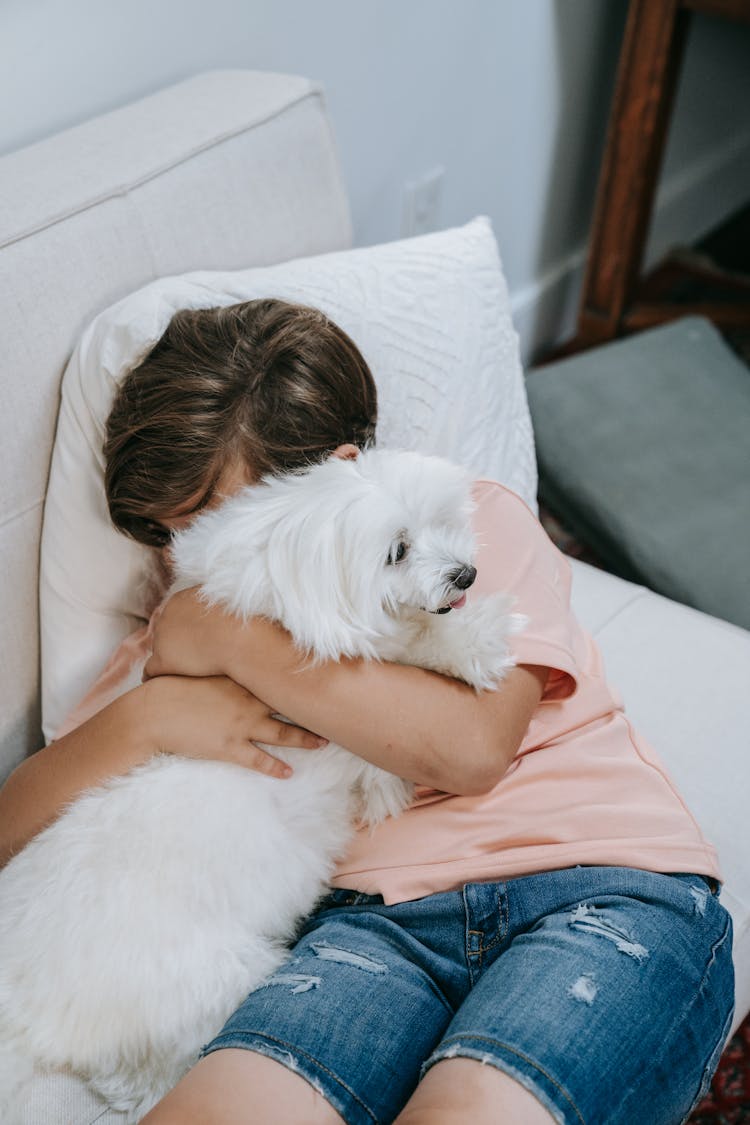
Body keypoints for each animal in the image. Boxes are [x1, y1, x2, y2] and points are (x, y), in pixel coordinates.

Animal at [0, 445, 526, 1116]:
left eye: (441, 523)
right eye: (397, 551)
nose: (466, 575)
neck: (283, 564)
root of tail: (21, 1009)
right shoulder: (343, 725)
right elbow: (404, 657)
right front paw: (473, 642)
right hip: (214, 981)